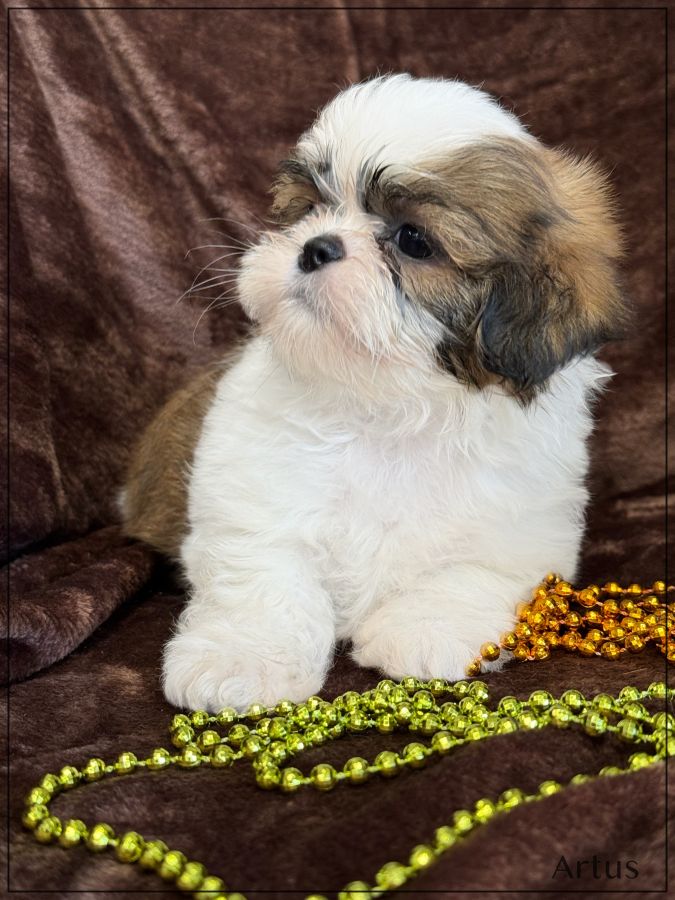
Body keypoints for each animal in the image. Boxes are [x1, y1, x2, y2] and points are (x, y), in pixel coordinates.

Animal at [121, 74, 627, 712]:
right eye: (312, 208)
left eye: (414, 241)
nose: (316, 246)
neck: (388, 408)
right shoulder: (250, 496)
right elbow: (263, 578)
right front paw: (244, 660)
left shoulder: (526, 530)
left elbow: (474, 572)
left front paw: (425, 629)